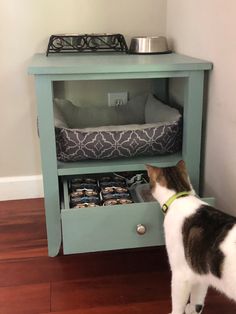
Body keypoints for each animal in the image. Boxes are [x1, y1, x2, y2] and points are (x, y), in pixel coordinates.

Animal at [147, 161, 235, 314]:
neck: (180, 196)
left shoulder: (180, 275)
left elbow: (177, 305)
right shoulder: (201, 272)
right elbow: (198, 299)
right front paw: (193, 309)